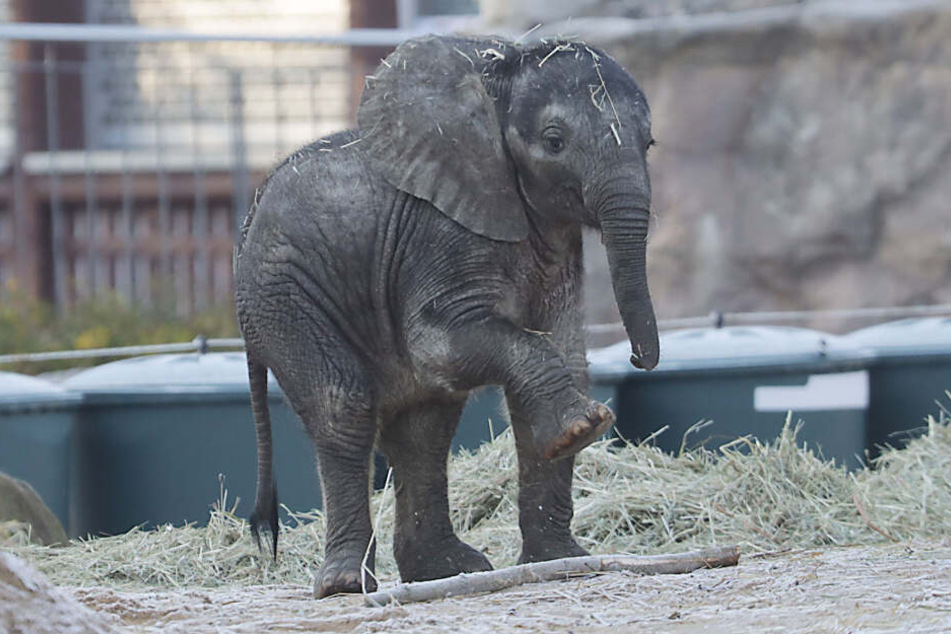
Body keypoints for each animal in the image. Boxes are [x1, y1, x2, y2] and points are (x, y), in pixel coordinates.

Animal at [234, 34, 660, 596]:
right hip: (284, 297)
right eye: (554, 142)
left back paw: (447, 571)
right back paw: (348, 585)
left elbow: (563, 355)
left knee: (424, 430)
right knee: (342, 407)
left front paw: (562, 559)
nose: (638, 360)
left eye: (649, 143)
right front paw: (585, 427)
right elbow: (439, 348)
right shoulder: (438, 235)